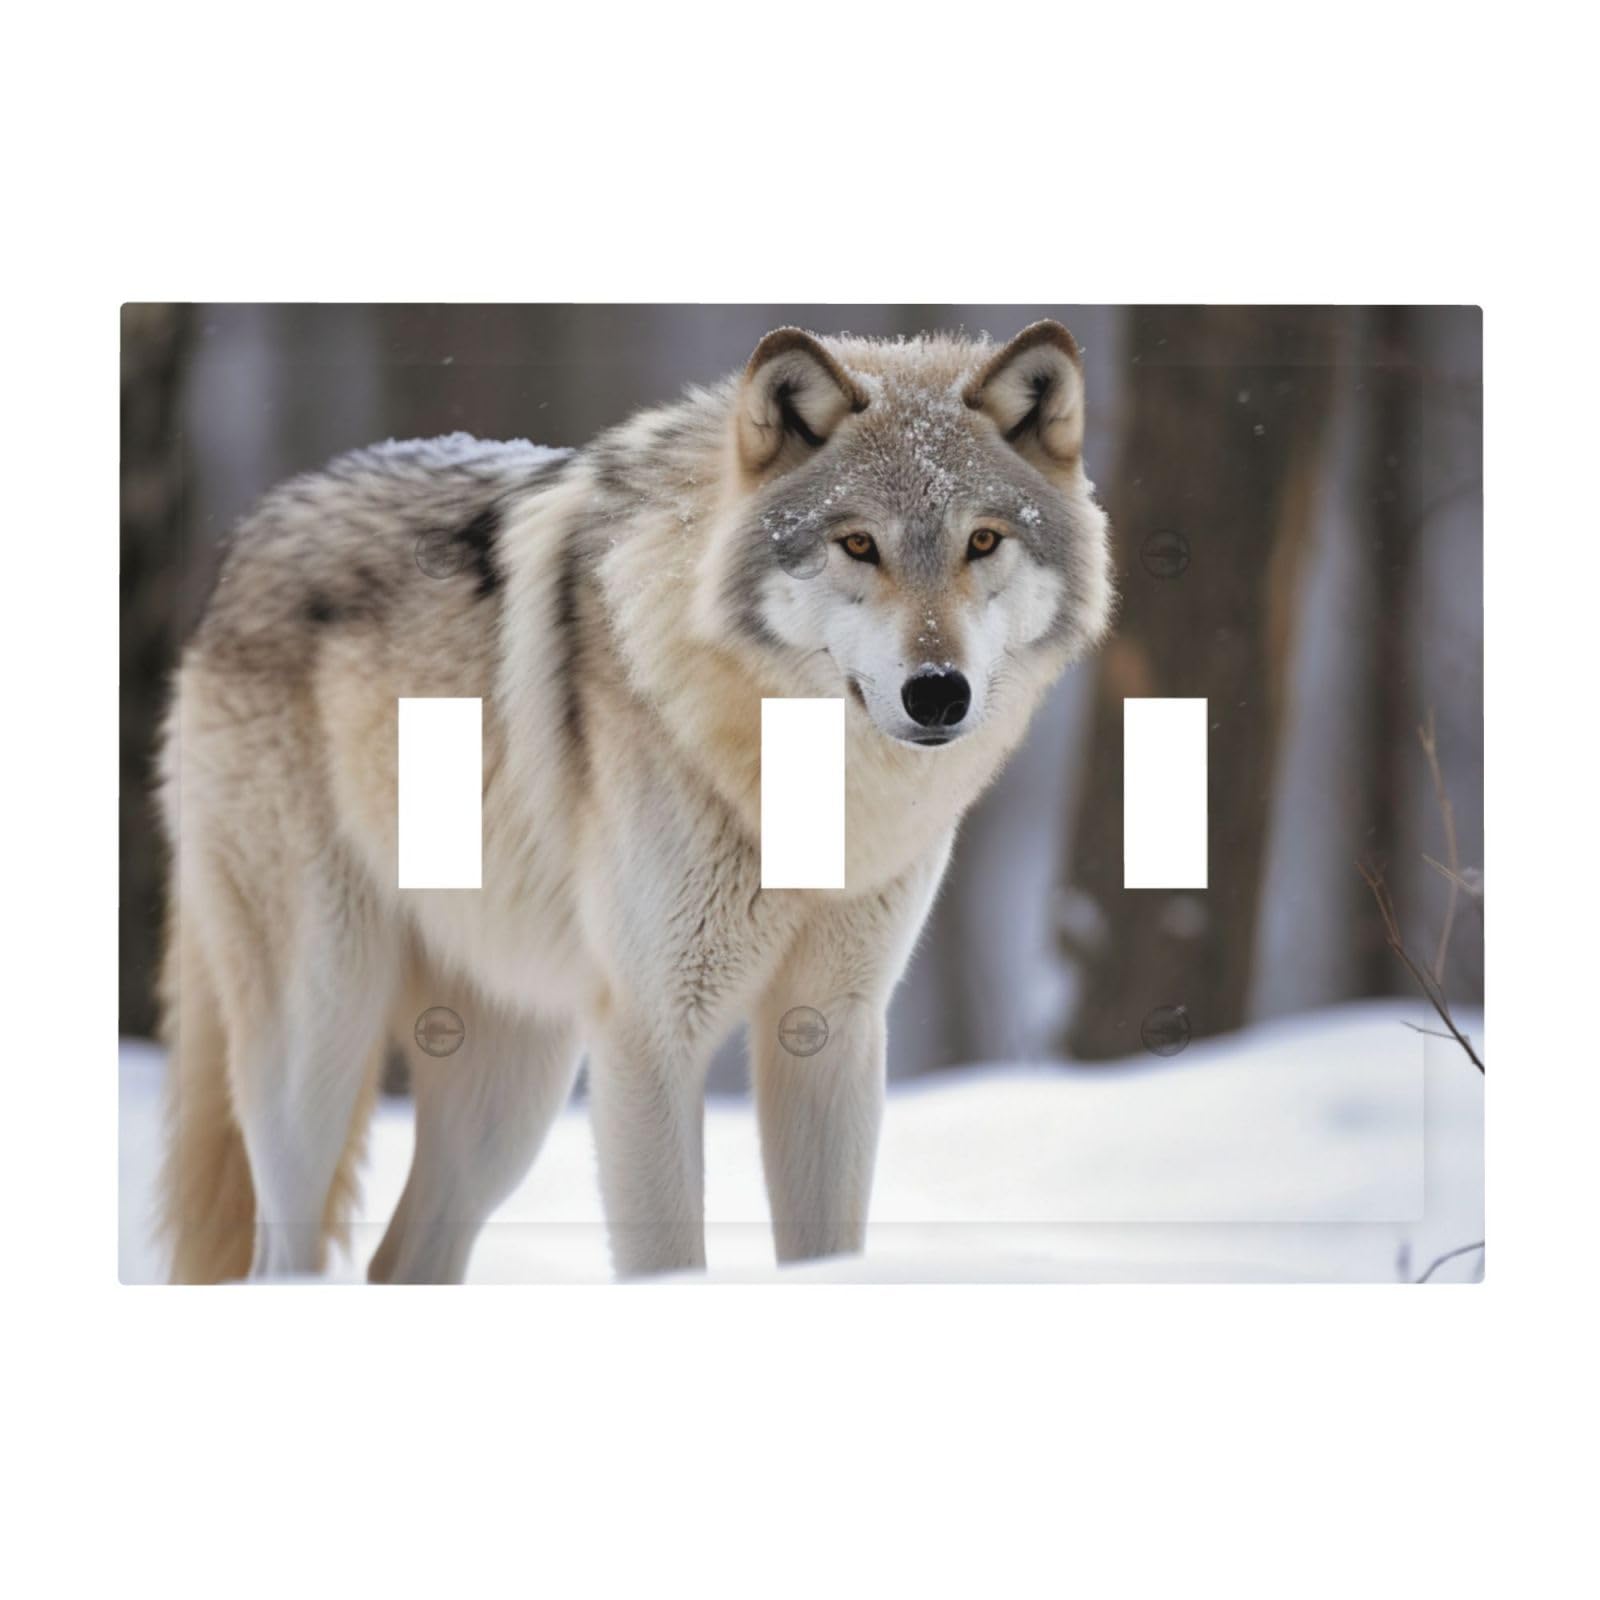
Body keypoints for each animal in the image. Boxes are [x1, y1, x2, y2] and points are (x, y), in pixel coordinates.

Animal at [156, 319, 1113, 1282]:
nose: (939, 693)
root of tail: (247, 539)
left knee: (401, 1261)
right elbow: (669, 1257)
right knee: (286, 1257)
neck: (810, 791)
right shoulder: (652, 1036)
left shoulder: (831, 1029)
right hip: (321, 1038)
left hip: (509, 1093)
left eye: (983, 541)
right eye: (858, 545)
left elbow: (826, 1248)